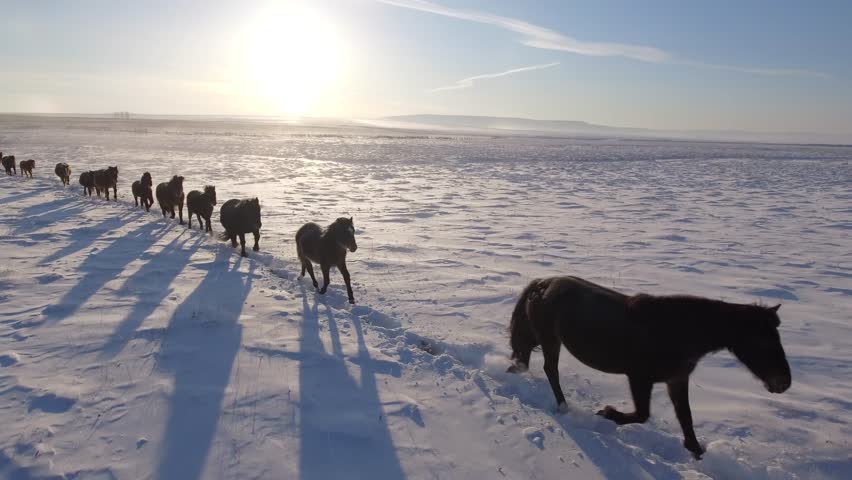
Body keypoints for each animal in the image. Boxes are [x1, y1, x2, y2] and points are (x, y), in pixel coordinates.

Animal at [506, 274, 792, 458]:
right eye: (763, 341)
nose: (784, 383)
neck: (679, 332)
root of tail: (544, 283)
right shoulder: (639, 377)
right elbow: (642, 415)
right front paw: (607, 413)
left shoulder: (677, 381)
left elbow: (686, 419)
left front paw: (696, 452)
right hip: (550, 339)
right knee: (550, 370)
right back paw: (563, 407)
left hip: (542, 336)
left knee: (525, 353)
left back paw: (514, 371)